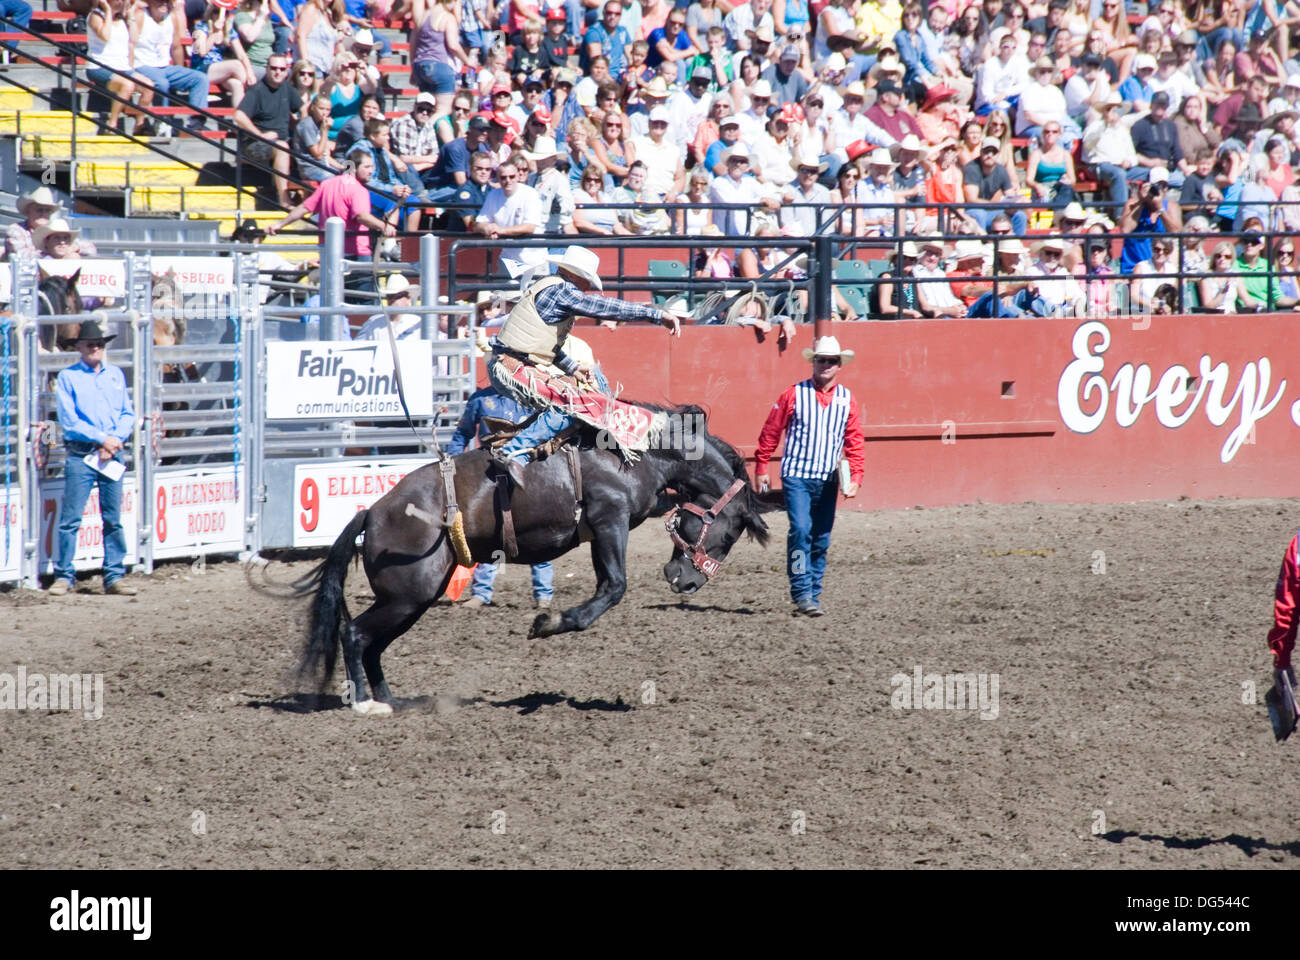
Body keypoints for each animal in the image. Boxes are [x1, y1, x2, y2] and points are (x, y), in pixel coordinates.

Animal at [287, 403, 769, 712]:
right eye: (728, 535)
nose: (686, 582)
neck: (637, 453)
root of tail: (373, 512)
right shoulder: (608, 519)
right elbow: (614, 587)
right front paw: (547, 623)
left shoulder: (605, 528)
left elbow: (608, 583)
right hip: (406, 596)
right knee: (354, 634)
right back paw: (366, 705)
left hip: (413, 598)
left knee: (372, 644)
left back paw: (392, 700)